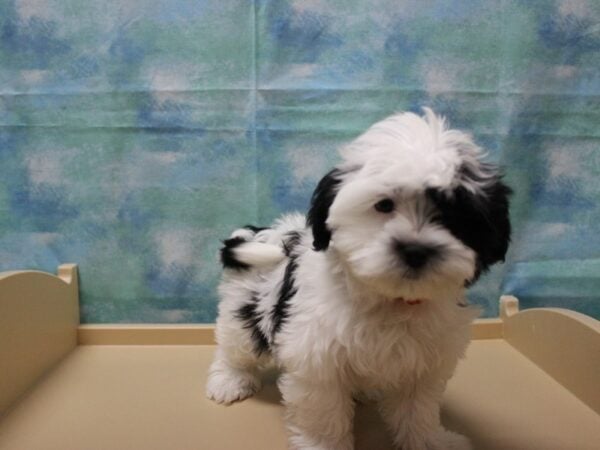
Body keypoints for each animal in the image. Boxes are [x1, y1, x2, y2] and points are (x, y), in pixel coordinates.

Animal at [206, 109, 510, 450]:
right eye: (384, 205)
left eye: (456, 214)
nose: (415, 250)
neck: (391, 299)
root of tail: (264, 232)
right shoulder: (318, 358)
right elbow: (324, 412)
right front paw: (323, 444)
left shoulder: (424, 360)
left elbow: (418, 409)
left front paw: (429, 441)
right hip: (245, 306)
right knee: (235, 345)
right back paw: (230, 379)